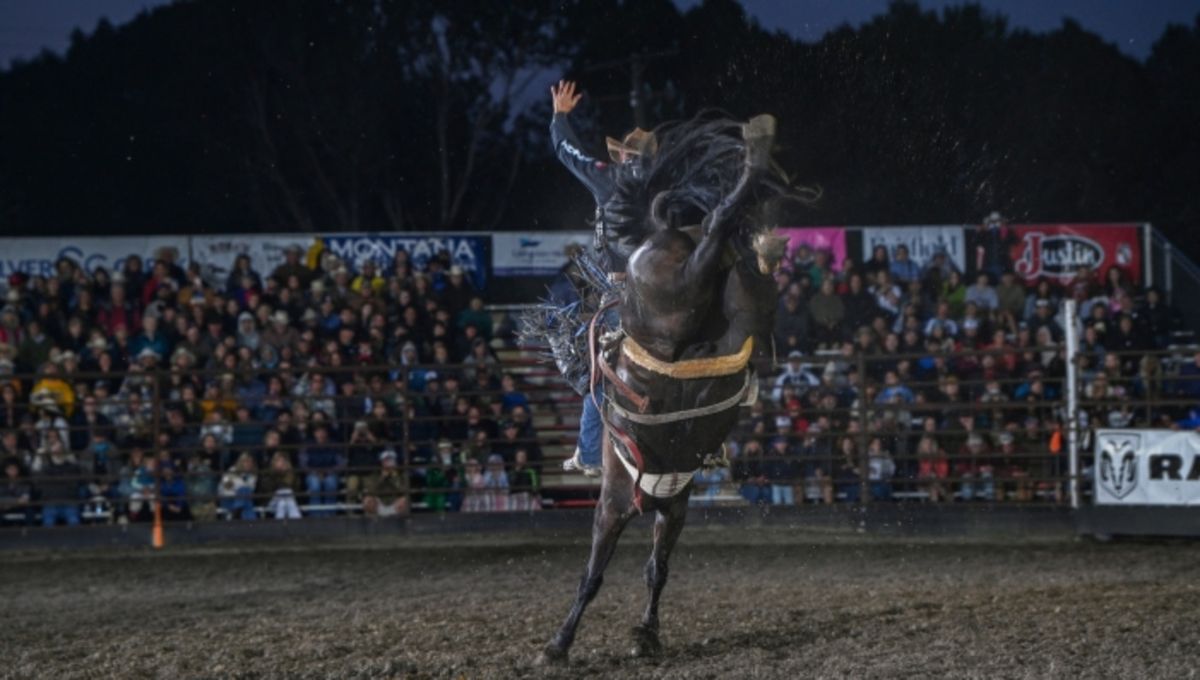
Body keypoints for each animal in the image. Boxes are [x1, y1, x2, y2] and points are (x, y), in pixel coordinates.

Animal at [535, 113, 796, 666]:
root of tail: (665, 232)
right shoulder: (666, 504)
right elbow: (652, 569)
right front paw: (644, 635)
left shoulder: (621, 503)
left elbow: (595, 575)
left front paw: (559, 644)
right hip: (742, 306)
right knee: (724, 239)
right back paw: (760, 186)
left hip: (671, 292)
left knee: (715, 228)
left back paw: (756, 152)